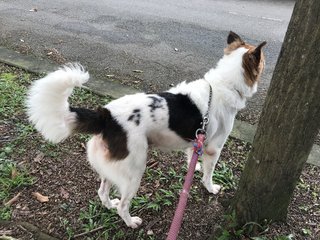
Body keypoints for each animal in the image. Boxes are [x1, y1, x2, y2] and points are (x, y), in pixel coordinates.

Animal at [26, 31, 268, 229]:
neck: (223, 85)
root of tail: (106, 116)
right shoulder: (214, 147)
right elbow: (209, 173)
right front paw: (210, 186)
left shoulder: (198, 139)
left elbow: (192, 155)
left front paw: (195, 166)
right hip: (134, 171)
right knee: (123, 205)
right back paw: (130, 221)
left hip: (113, 167)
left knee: (102, 192)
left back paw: (109, 205)